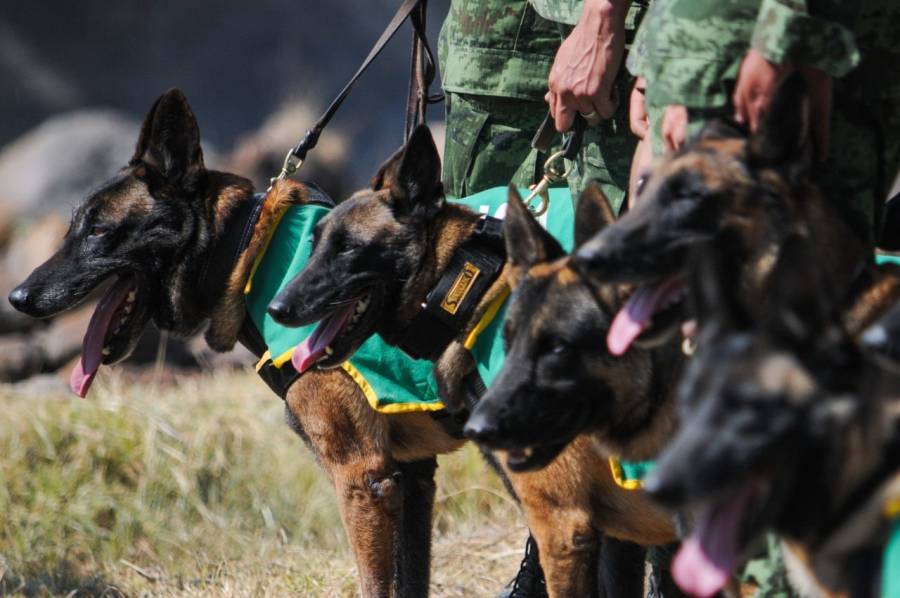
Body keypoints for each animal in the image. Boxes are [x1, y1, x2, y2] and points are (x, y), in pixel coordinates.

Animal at [8, 90, 464, 598]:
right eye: (73, 228)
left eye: (99, 231)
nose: (17, 297)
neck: (250, 254)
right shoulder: (413, 477)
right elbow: (410, 579)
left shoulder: (364, 478)